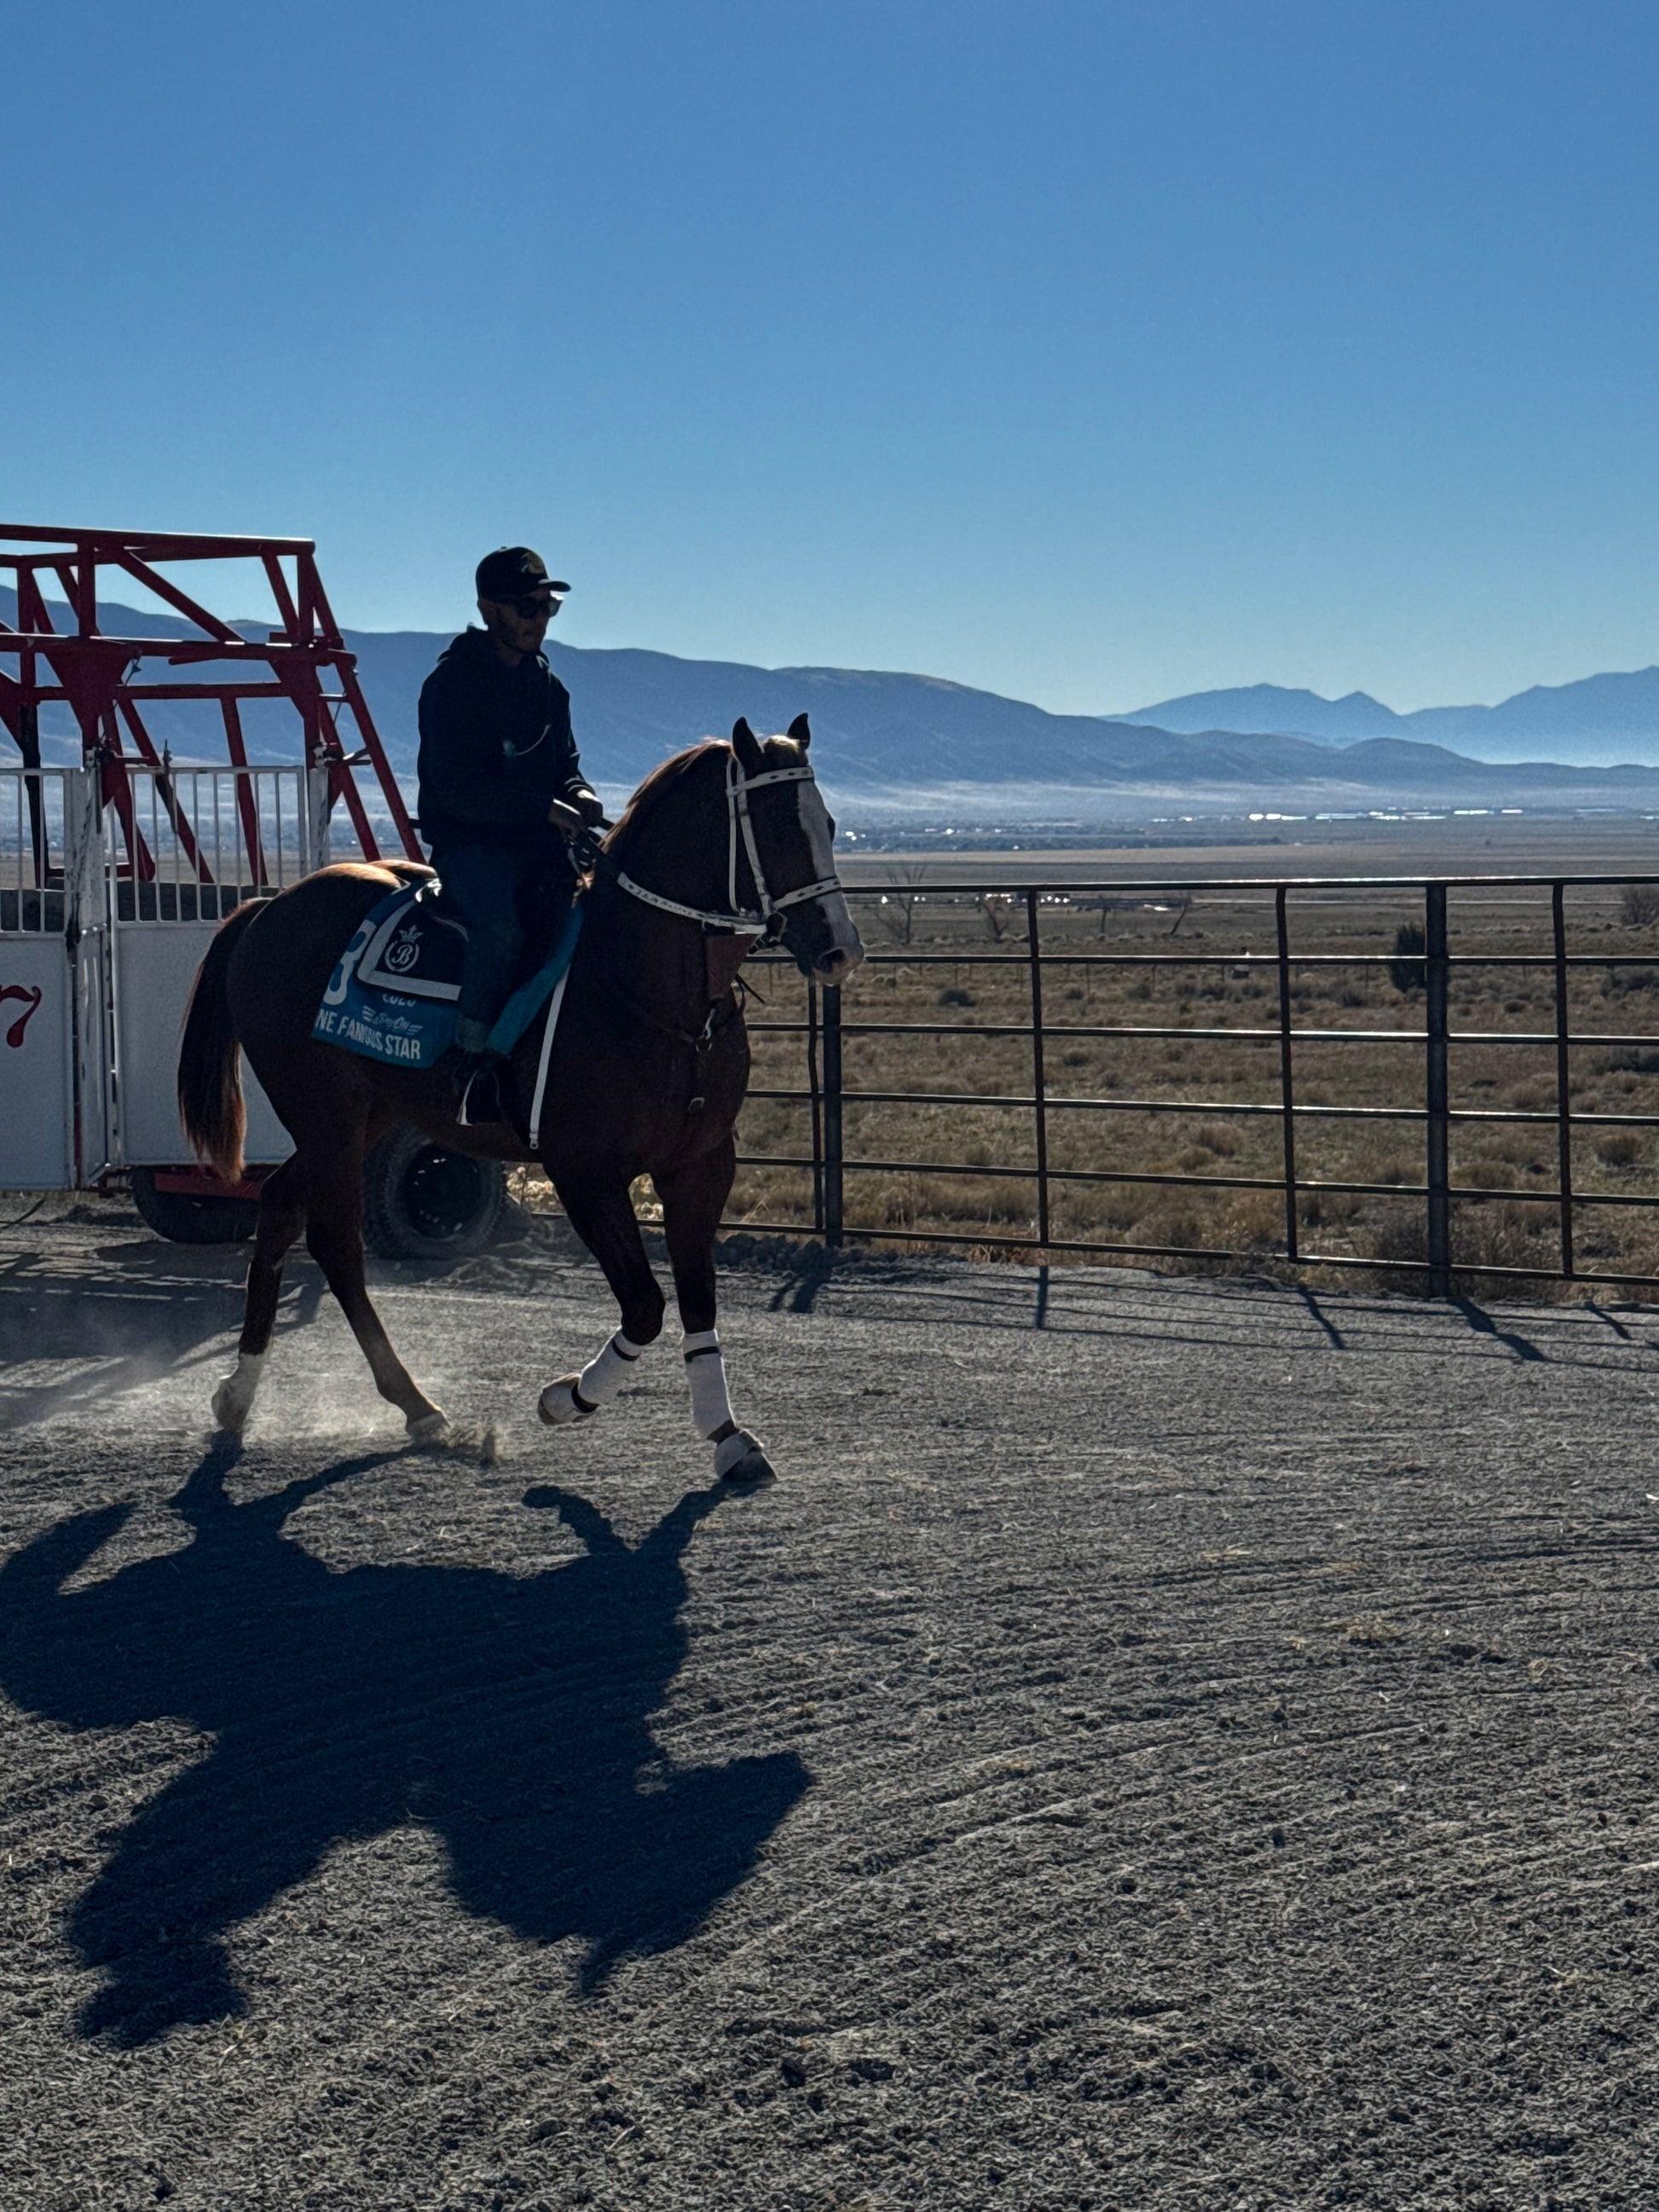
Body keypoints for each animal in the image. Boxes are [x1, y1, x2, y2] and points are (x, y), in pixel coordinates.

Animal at [177, 715, 865, 1482]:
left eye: (827, 823)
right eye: (777, 826)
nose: (841, 949)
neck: (648, 992)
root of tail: (269, 907)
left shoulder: (701, 1164)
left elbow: (695, 1297)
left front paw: (726, 1433)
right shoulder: (584, 1171)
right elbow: (645, 1304)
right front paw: (567, 1398)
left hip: (365, 1114)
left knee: (278, 1207)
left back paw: (240, 1393)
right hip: (326, 1115)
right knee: (334, 1242)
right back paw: (414, 1403)